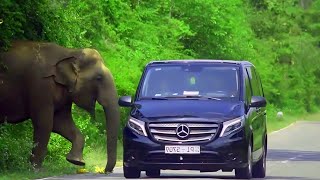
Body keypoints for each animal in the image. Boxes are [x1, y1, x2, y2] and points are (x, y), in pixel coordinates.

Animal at [0, 41, 120, 173]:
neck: (70, 52)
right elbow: (45, 124)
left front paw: (76, 161)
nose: (105, 170)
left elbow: (61, 124)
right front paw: (35, 170)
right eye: (99, 78)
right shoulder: (41, 86)